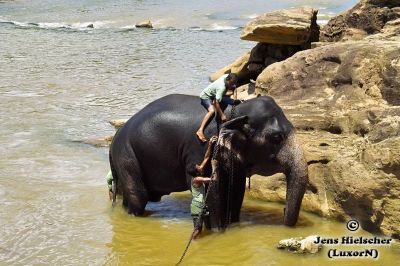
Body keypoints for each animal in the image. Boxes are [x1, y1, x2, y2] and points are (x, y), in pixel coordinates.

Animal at [109, 94, 310, 230]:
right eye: (276, 137)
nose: (283, 212)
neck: (234, 114)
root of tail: (114, 139)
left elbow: (236, 189)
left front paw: (232, 227)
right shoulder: (200, 147)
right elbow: (208, 188)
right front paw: (216, 231)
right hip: (126, 156)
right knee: (138, 197)